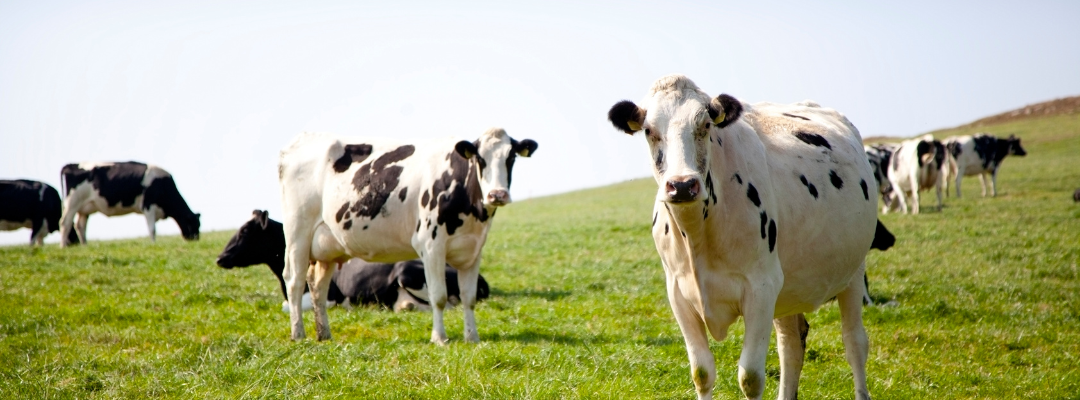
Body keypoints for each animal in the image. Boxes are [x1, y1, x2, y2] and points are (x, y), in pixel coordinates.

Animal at [59, 162, 200, 246]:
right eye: (194, 225)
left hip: (84, 208)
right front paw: (153, 244)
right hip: (72, 202)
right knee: (65, 223)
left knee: (80, 226)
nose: (196, 240)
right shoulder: (148, 206)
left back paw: (84, 246)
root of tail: (70, 165)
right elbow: (152, 229)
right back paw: (63, 247)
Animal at [278, 127, 536, 343]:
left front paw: (472, 337)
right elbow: (439, 296)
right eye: (480, 159)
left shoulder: (473, 251)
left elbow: (469, 298)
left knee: (318, 287)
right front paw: (439, 338)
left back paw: (324, 334)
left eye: (511, 157)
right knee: (294, 282)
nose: (497, 194)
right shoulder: (431, 246)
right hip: (297, 233)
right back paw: (298, 333)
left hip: (327, 247)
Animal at [608, 75, 885, 400]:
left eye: (705, 125)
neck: (697, 235)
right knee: (791, 345)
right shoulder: (678, 293)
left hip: (852, 272)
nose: (683, 185)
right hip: (787, 288)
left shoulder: (760, 287)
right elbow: (701, 373)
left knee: (854, 343)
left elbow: (750, 377)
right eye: (649, 131)